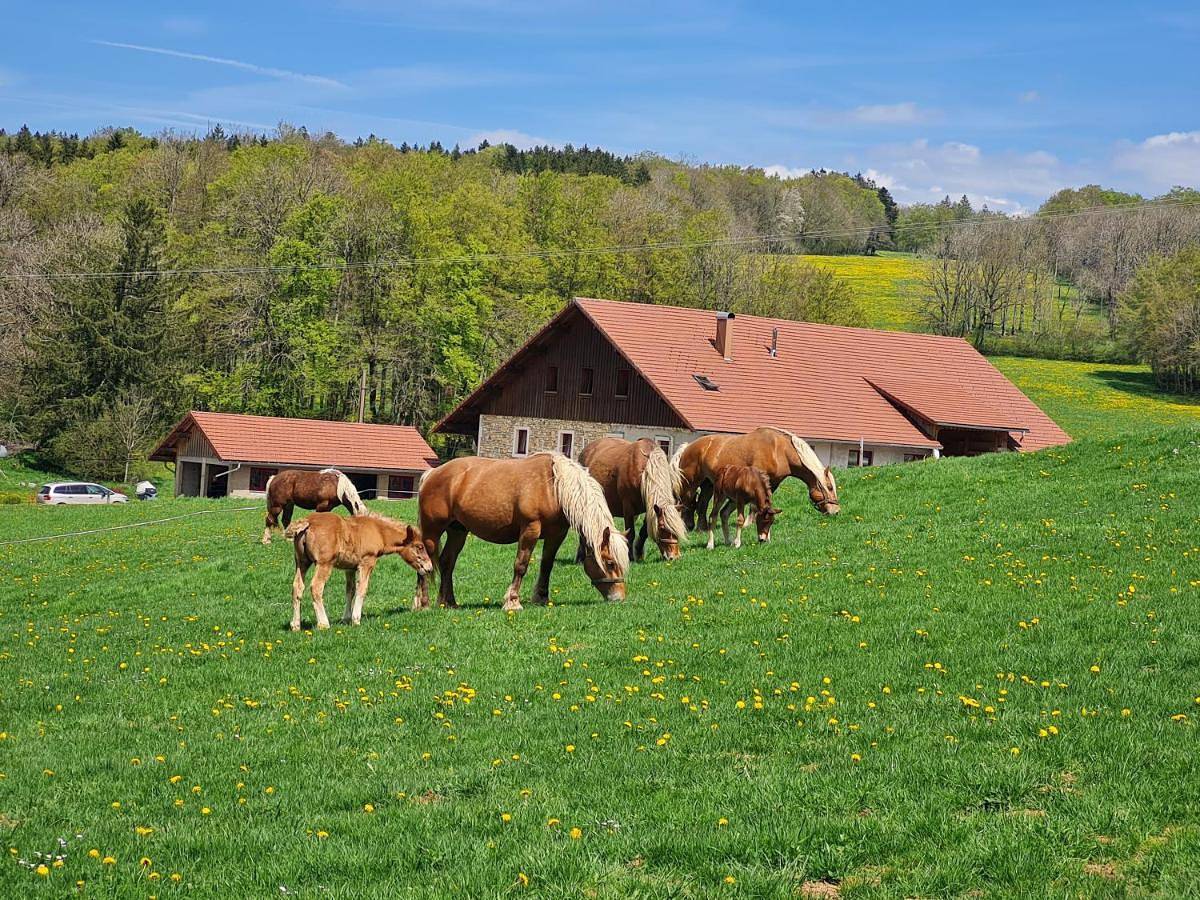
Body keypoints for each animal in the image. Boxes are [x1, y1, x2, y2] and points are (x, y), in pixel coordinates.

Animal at [284, 512, 432, 631]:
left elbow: (350, 590)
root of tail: (307, 522)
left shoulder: (350, 567)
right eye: (419, 547)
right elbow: (362, 589)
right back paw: (323, 624)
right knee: (316, 587)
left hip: (302, 562)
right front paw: (356, 619)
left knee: (297, 587)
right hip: (324, 564)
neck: (379, 532)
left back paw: (295, 625)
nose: (429, 567)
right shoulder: (367, 562)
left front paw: (346, 618)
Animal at [414, 453, 630, 612]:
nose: (619, 597)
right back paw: (422, 604)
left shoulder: (556, 534)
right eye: (610, 563)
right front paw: (513, 602)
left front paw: (541, 598)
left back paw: (448, 602)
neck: (554, 486)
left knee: (447, 562)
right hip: (432, 531)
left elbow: (547, 565)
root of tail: (432, 473)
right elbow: (521, 565)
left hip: (458, 531)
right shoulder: (530, 530)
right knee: (425, 563)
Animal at [676, 427, 840, 531]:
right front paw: (748, 524)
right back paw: (686, 526)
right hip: (690, 483)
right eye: (830, 487)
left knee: (701, 503)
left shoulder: (773, 483)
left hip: (708, 484)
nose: (836, 511)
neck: (779, 450)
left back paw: (701, 528)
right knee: (686, 502)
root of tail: (687, 447)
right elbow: (753, 506)